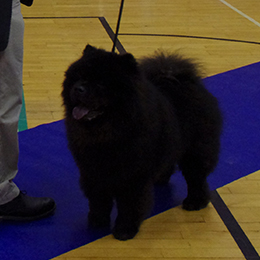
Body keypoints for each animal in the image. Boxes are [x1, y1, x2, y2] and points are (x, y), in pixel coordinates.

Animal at [62, 44, 222, 240]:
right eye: (78, 77)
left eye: (100, 83)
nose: (78, 88)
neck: (108, 132)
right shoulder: (92, 171)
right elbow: (98, 199)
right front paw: (97, 221)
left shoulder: (132, 176)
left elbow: (129, 205)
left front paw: (124, 230)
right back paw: (160, 179)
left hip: (196, 150)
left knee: (196, 177)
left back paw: (195, 202)